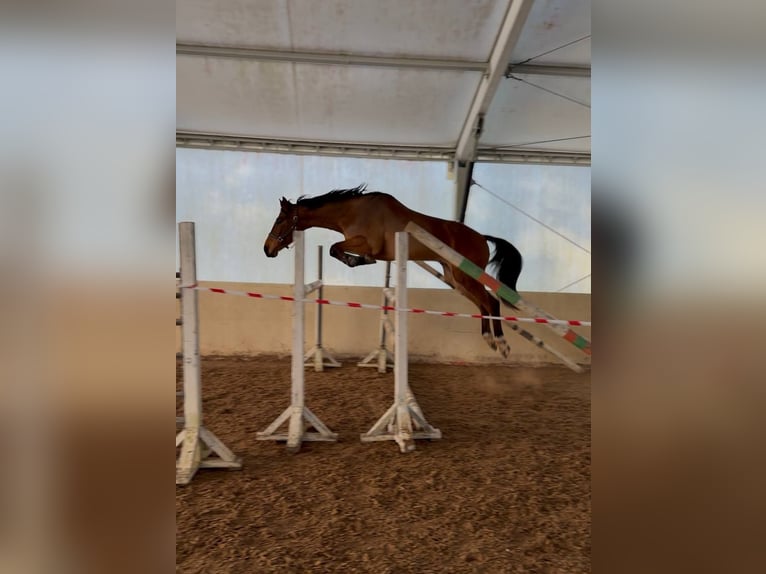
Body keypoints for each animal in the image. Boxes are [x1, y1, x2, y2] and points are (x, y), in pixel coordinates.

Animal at [263, 184, 522, 357]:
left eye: (279, 220)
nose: (267, 249)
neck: (353, 212)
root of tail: (482, 237)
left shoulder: (366, 243)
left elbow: (335, 248)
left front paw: (357, 261)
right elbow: (335, 250)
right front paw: (359, 261)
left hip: (465, 276)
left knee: (490, 301)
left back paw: (501, 343)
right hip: (455, 278)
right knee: (482, 304)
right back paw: (489, 339)